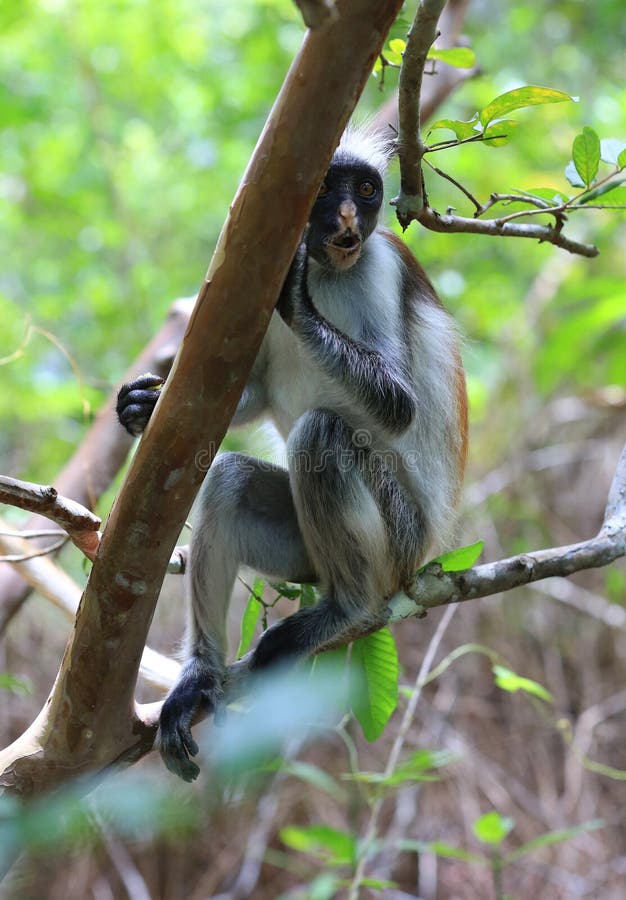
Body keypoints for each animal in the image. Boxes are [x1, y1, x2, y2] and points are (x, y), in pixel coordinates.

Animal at [117, 127, 468, 781]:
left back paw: (348, 609)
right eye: (329, 188)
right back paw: (201, 675)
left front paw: (299, 301)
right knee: (230, 478)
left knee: (322, 433)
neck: (331, 267)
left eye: (366, 189)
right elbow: (246, 392)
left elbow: (400, 406)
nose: (352, 217)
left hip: (399, 535)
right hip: (302, 552)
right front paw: (142, 409)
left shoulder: (376, 267)